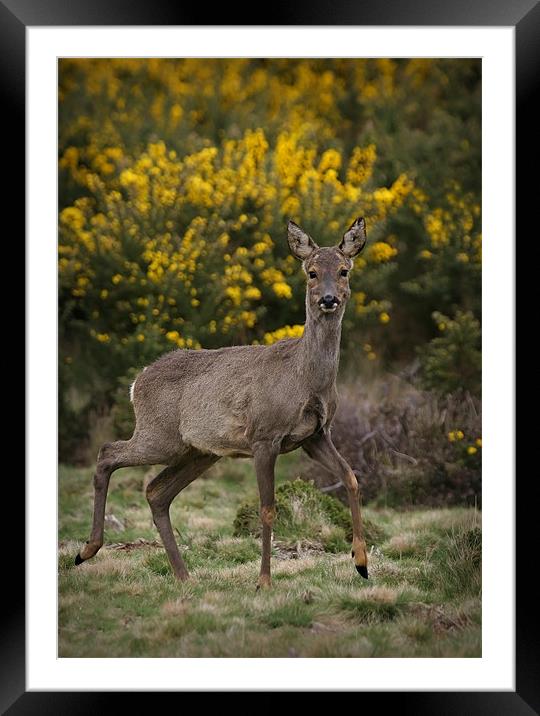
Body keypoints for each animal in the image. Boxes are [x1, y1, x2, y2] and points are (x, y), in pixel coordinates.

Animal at [76, 217, 370, 588]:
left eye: (344, 270)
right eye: (312, 272)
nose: (329, 299)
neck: (305, 378)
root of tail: (136, 382)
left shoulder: (315, 435)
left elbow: (351, 477)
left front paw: (361, 562)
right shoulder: (264, 435)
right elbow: (267, 508)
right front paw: (264, 581)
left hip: (199, 451)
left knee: (156, 491)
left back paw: (184, 576)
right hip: (159, 436)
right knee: (107, 453)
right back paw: (87, 550)